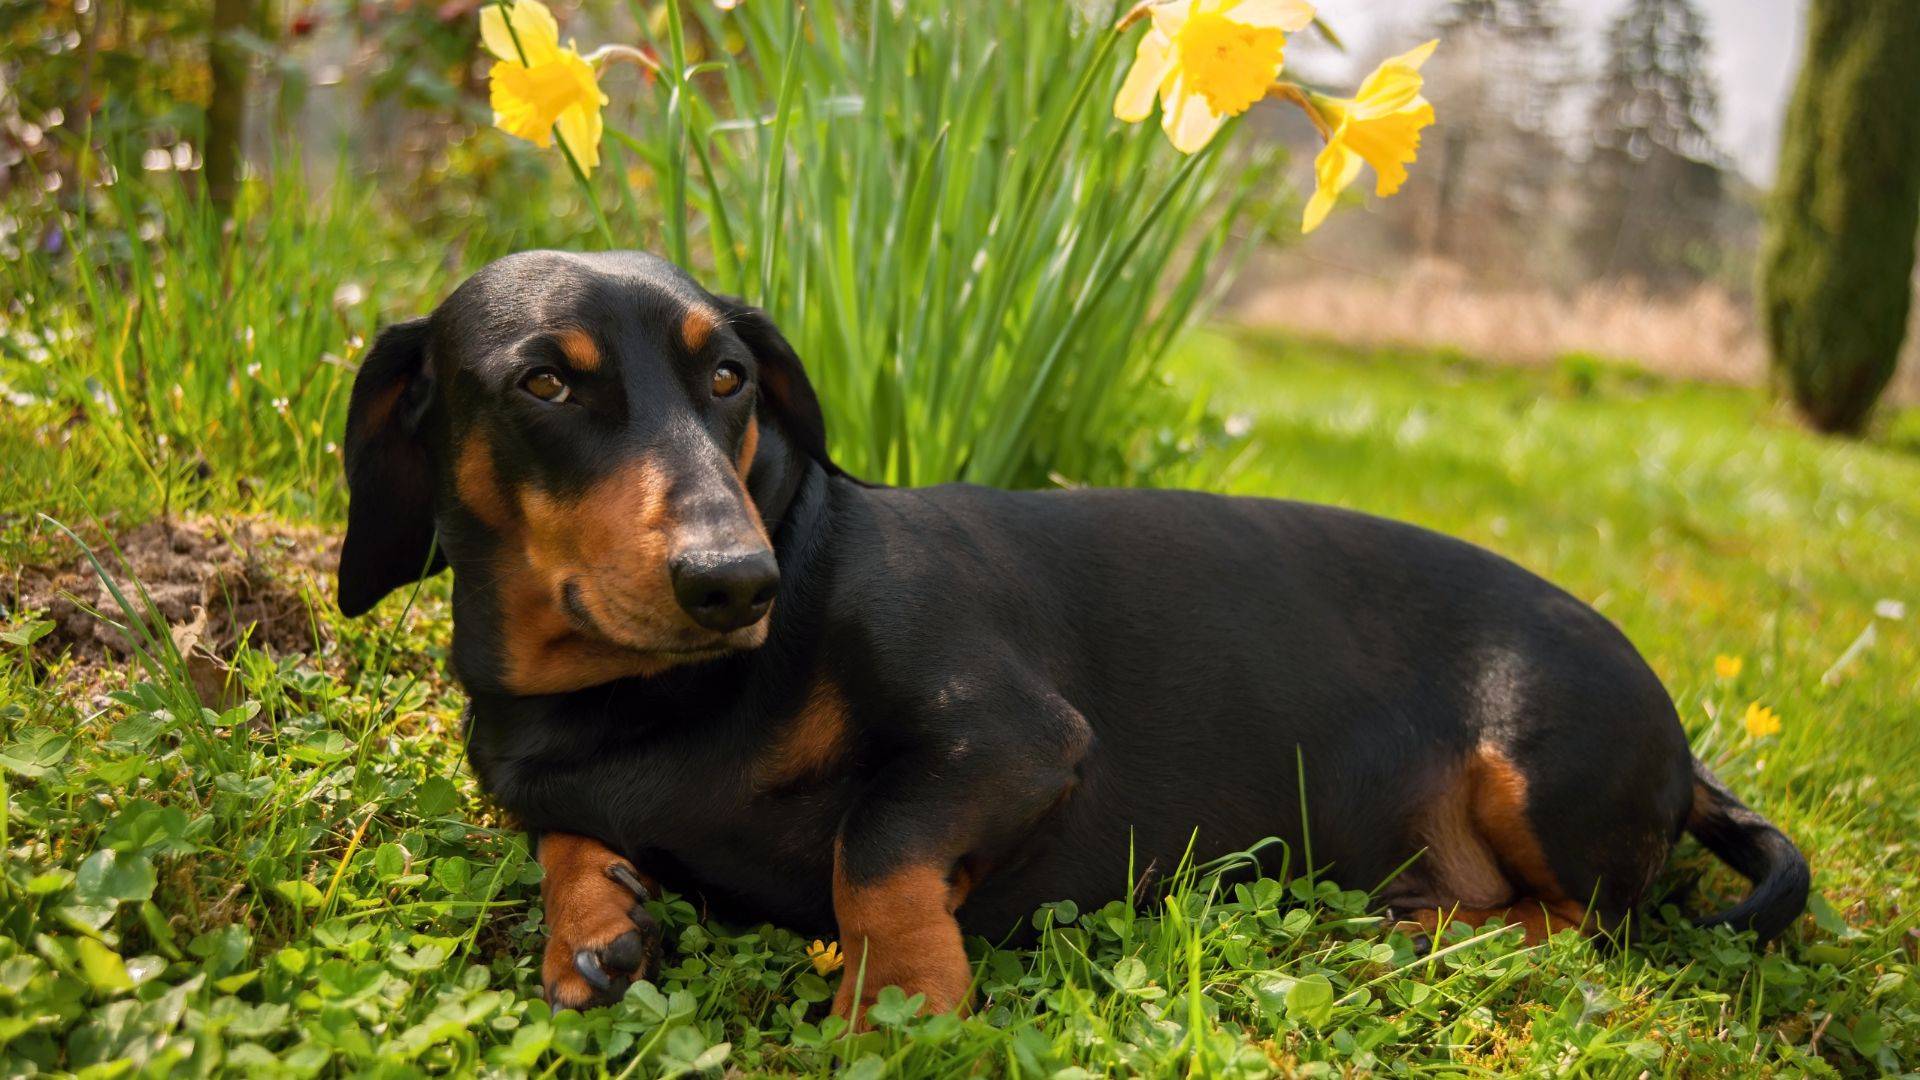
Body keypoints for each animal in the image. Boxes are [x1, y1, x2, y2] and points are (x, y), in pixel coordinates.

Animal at [335, 250, 1809, 1017]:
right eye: (543, 383)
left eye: (731, 377)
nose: (736, 582)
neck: (644, 702)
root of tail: (1688, 753)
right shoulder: (541, 777)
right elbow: (560, 834)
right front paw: (595, 917)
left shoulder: (1015, 737)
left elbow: (877, 843)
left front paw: (900, 997)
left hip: (1537, 758)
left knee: (1592, 923)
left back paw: (1425, 934)